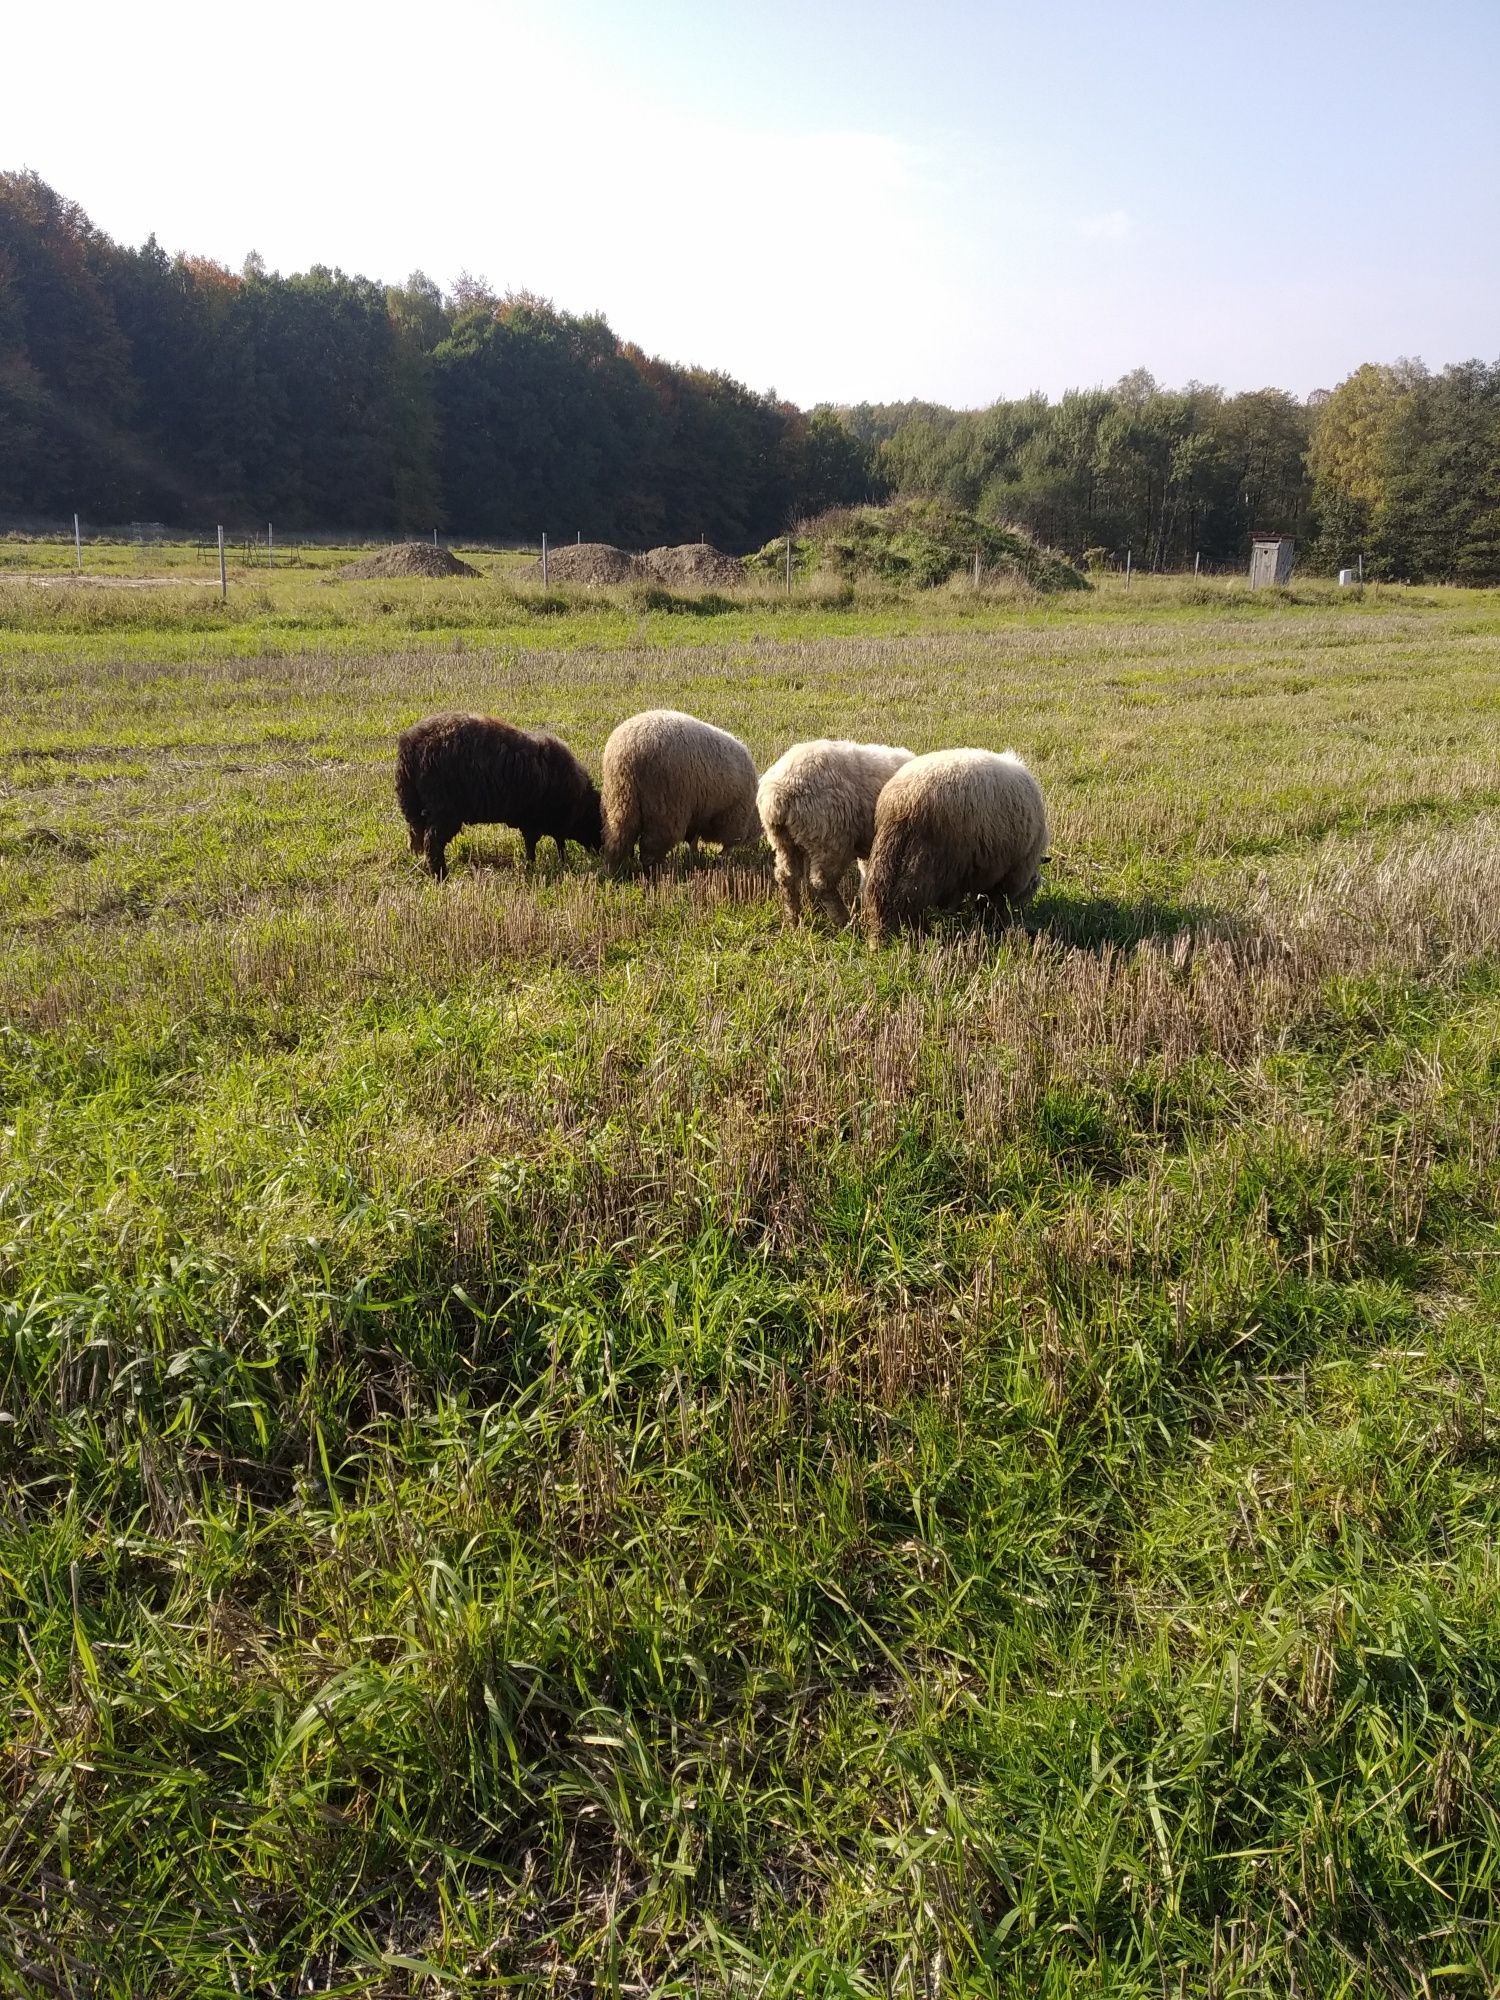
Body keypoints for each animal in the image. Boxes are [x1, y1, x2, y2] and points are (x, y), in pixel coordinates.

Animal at [400, 716, 612, 880]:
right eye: (598, 821)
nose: (603, 853)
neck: (579, 800)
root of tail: (410, 743)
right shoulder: (536, 821)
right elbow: (540, 844)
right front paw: (536, 867)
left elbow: (549, 843)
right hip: (445, 810)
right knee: (433, 842)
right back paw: (441, 877)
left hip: (417, 810)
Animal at [604, 716, 764, 880]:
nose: (756, 847)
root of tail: (629, 749)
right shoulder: (733, 817)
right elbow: (727, 846)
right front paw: (722, 861)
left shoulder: (698, 813)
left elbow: (693, 840)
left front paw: (694, 857)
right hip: (664, 808)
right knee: (650, 849)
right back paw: (656, 876)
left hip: (620, 800)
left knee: (618, 839)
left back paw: (614, 872)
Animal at [756, 740, 912, 924]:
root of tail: (778, 792)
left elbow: (866, 877)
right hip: (830, 839)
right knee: (823, 884)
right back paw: (844, 921)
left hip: (783, 841)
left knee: (786, 877)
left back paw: (793, 919)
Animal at [864, 748, 1048, 940]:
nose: (1024, 907)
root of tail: (903, 800)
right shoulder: (1009, 874)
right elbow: (997, 905)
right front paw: (998, 927)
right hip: (926, 859)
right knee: (910, 902)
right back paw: (921, 936)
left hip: (890, 851)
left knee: (880, 894)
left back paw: (880, 938)